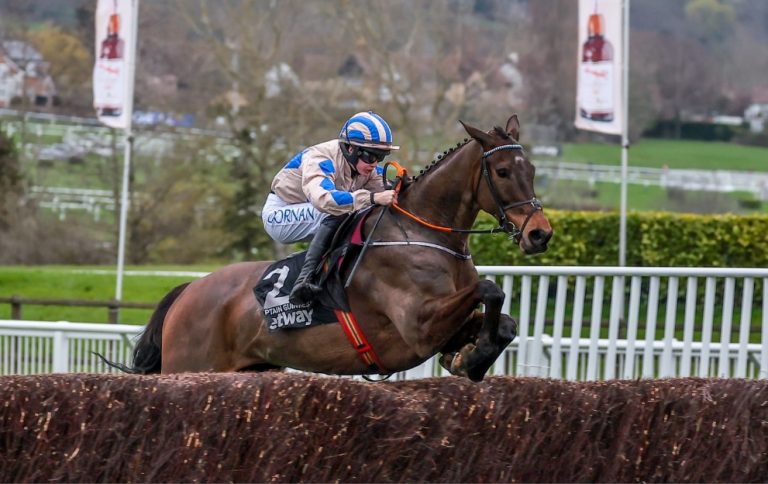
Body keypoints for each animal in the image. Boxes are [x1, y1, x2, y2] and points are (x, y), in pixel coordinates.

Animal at [112, 116, 552, 382]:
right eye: (502, 171)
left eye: (532, 170)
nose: (540, 234)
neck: (424, 233)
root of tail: (188, 290)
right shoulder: (418, 326)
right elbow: (490, 289)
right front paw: (474, 358)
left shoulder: (443, 325)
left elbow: (505, 322)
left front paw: (469, 356)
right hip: (192, 365)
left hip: (254, 369)